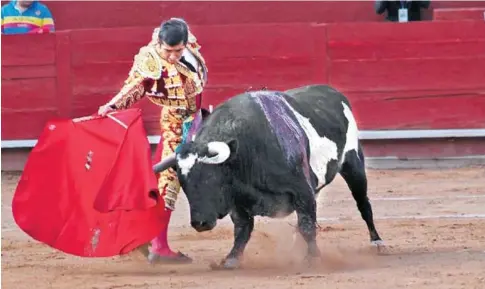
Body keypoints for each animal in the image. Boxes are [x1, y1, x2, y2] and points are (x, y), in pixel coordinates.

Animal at [154, 83, 382, 268]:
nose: (200, 223)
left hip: (353, 163)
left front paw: (313, 258)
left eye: (211, 179)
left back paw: (377, 242)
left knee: (363, 204)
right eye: (183, 183)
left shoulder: (302, 190)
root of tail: (333, 91)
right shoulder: (238, 203)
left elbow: (307, 225)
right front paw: (231, 259)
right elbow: (242, 230)